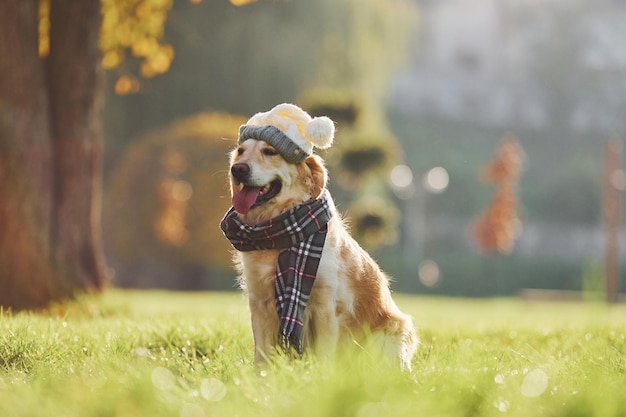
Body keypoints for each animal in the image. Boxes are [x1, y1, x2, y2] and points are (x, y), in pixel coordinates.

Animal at [218, 102, 414, 368]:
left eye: (270, 151)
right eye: (240, 151)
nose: (237, 169)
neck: (279, 233)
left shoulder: (324, 306)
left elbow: (323, 356)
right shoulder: (259, 303)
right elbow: (262, 356)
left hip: (389, 333)